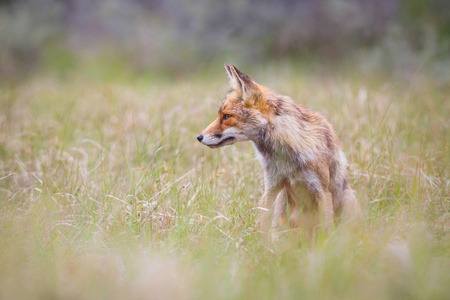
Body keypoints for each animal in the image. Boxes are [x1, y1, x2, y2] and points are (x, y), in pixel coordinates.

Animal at [197, 64, 362, 236]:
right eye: (220, 115)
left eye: (227, 116)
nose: (199, 137)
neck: (286, 156)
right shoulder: (272, 186)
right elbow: (262, 226)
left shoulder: (322, 191)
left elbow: (325, 231)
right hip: (283, 202)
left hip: (346, 201)